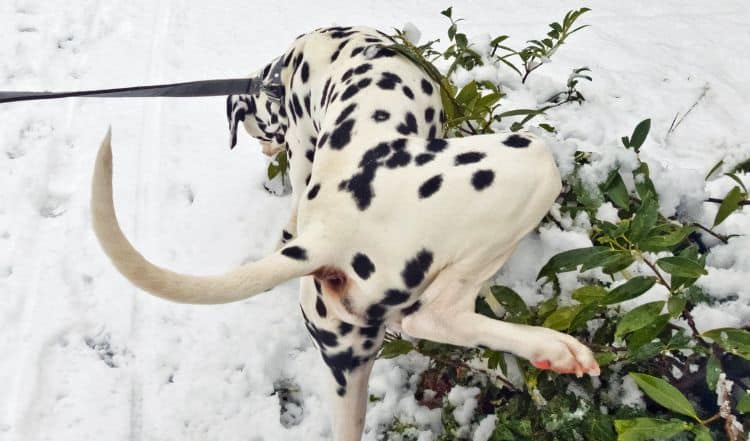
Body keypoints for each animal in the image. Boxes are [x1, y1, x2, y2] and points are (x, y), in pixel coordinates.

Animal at [91, 25, 604, 438]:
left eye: (256, 131)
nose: (264, 149)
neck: (285, 75)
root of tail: (328, 237)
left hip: (346, 372)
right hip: (529, 162)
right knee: (432, 316)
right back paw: (552, 348)